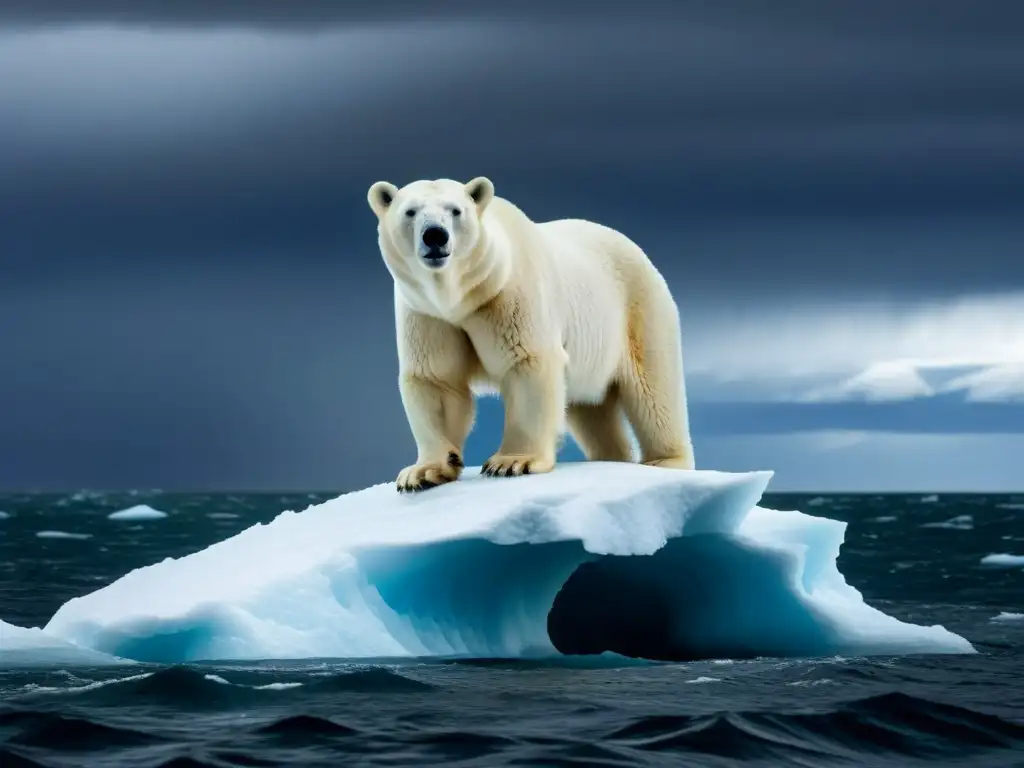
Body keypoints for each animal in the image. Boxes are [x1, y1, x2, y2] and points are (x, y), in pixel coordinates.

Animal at [367, 176, 694, 492]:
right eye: (410, 211)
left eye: (455, 210)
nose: (435, 235)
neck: (462, 298)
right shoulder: (427, 314)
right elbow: (437, 379)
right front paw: (423, 472)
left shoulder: (510, 296)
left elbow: (527, 362)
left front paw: (511, 462)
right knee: (591, 409)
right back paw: (609, 458)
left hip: (638, 310)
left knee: (654, 390)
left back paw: (665, 461)